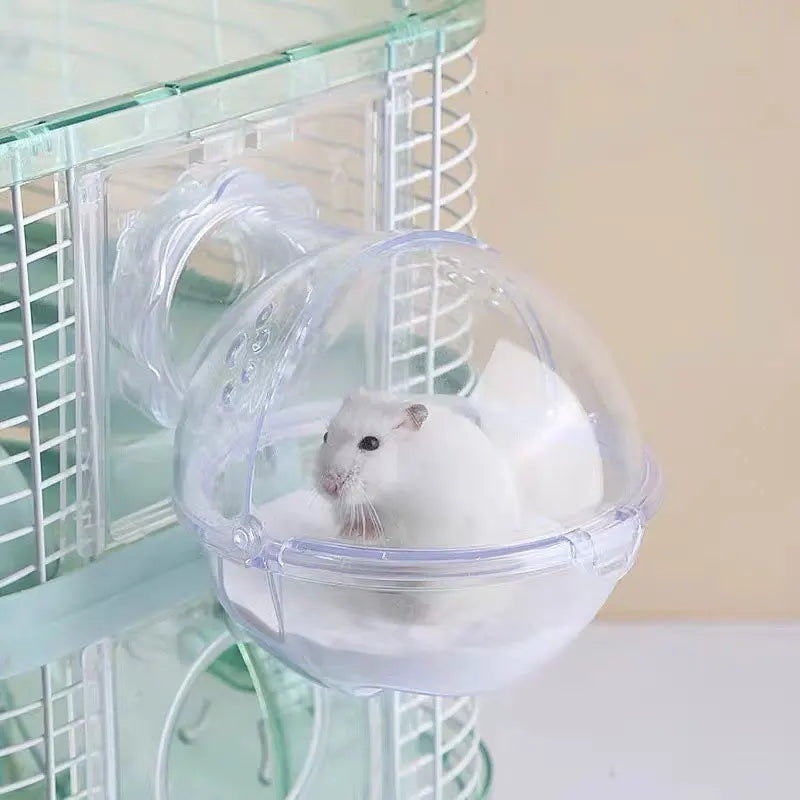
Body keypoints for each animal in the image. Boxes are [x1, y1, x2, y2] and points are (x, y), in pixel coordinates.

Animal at [314, 389, 520, 549]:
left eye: (371, 443)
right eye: (325, 436)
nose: (328, 487)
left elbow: (391, 532)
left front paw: (361, 532)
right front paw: (347, 530)